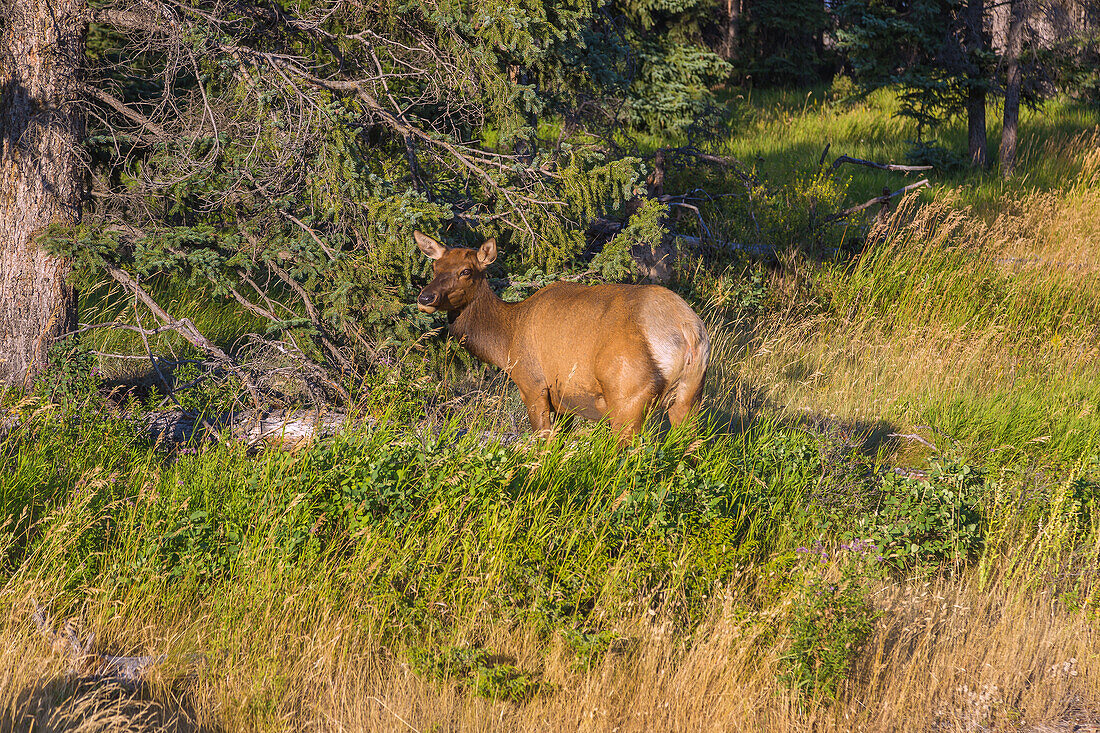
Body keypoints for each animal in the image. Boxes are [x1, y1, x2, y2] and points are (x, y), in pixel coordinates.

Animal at [413, 231, 712, 442]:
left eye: (466, 271)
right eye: (435, 268)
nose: (425, 298)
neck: (507, 340)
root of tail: (687, 330)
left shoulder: (532, 384)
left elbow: (543, 442)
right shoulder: (564, 399)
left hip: (628, 393)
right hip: (691, 393)